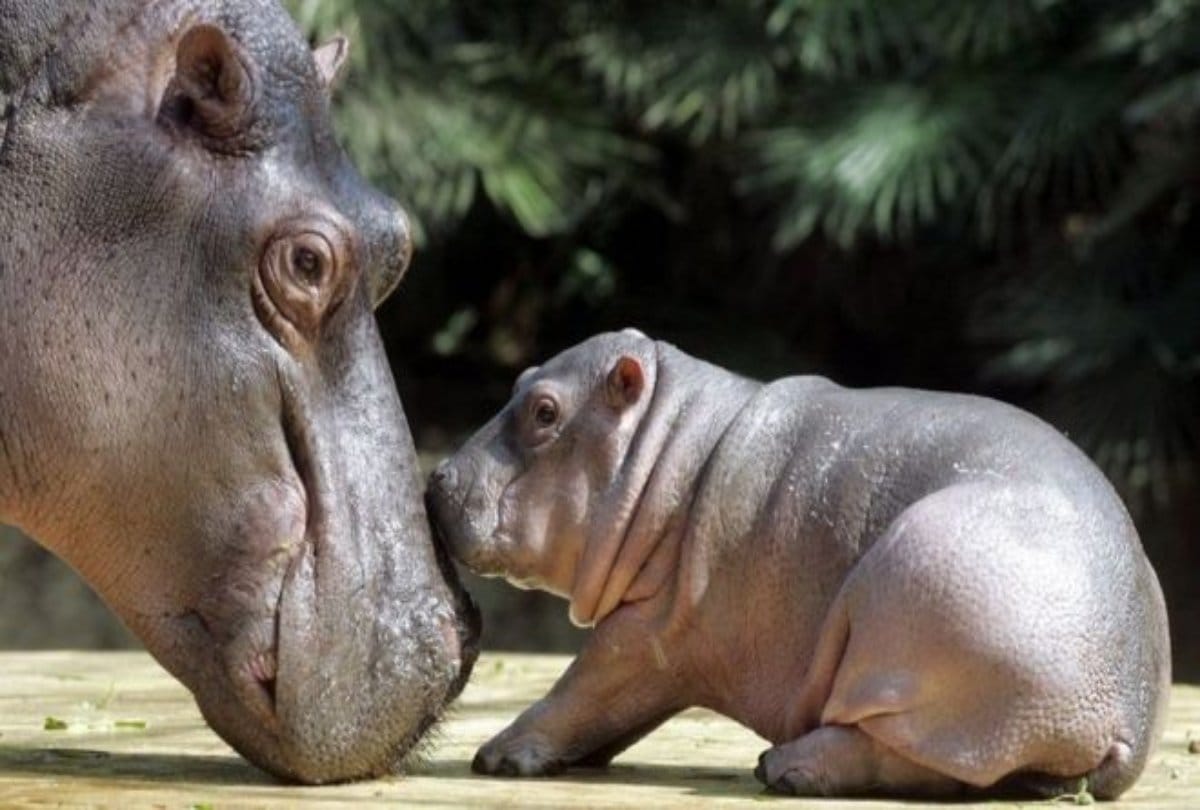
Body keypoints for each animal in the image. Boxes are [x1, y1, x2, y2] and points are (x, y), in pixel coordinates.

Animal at [427, 329, 1171, 799]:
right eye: (520, 380)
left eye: (545, 410)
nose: (435, 478)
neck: (663, 448)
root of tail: (1126, 711)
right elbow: (608, 716)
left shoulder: (649, 632)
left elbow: (582, 686)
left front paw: (496, 753)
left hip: (917, 617)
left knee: (911, 759)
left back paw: (784, 766)